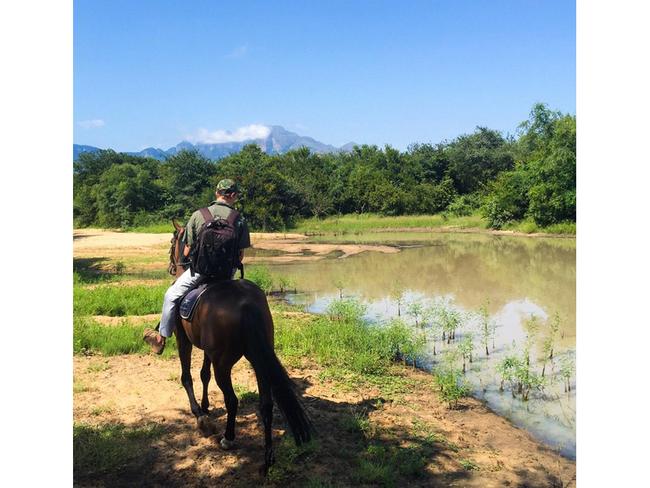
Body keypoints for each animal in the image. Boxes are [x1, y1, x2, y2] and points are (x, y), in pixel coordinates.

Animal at [166, 221, 310, 472]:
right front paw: (205, 406)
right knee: (266, 405)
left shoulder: (183, 340)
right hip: (259, 360)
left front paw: (200, 415)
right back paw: (267, 458)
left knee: (232, 399)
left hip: (223, 364)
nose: (171, 267)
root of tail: (246, 304)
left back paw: (228, 438)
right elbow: (203, 374)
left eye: (172, 242)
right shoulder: (208, 351)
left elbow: (187, 377)